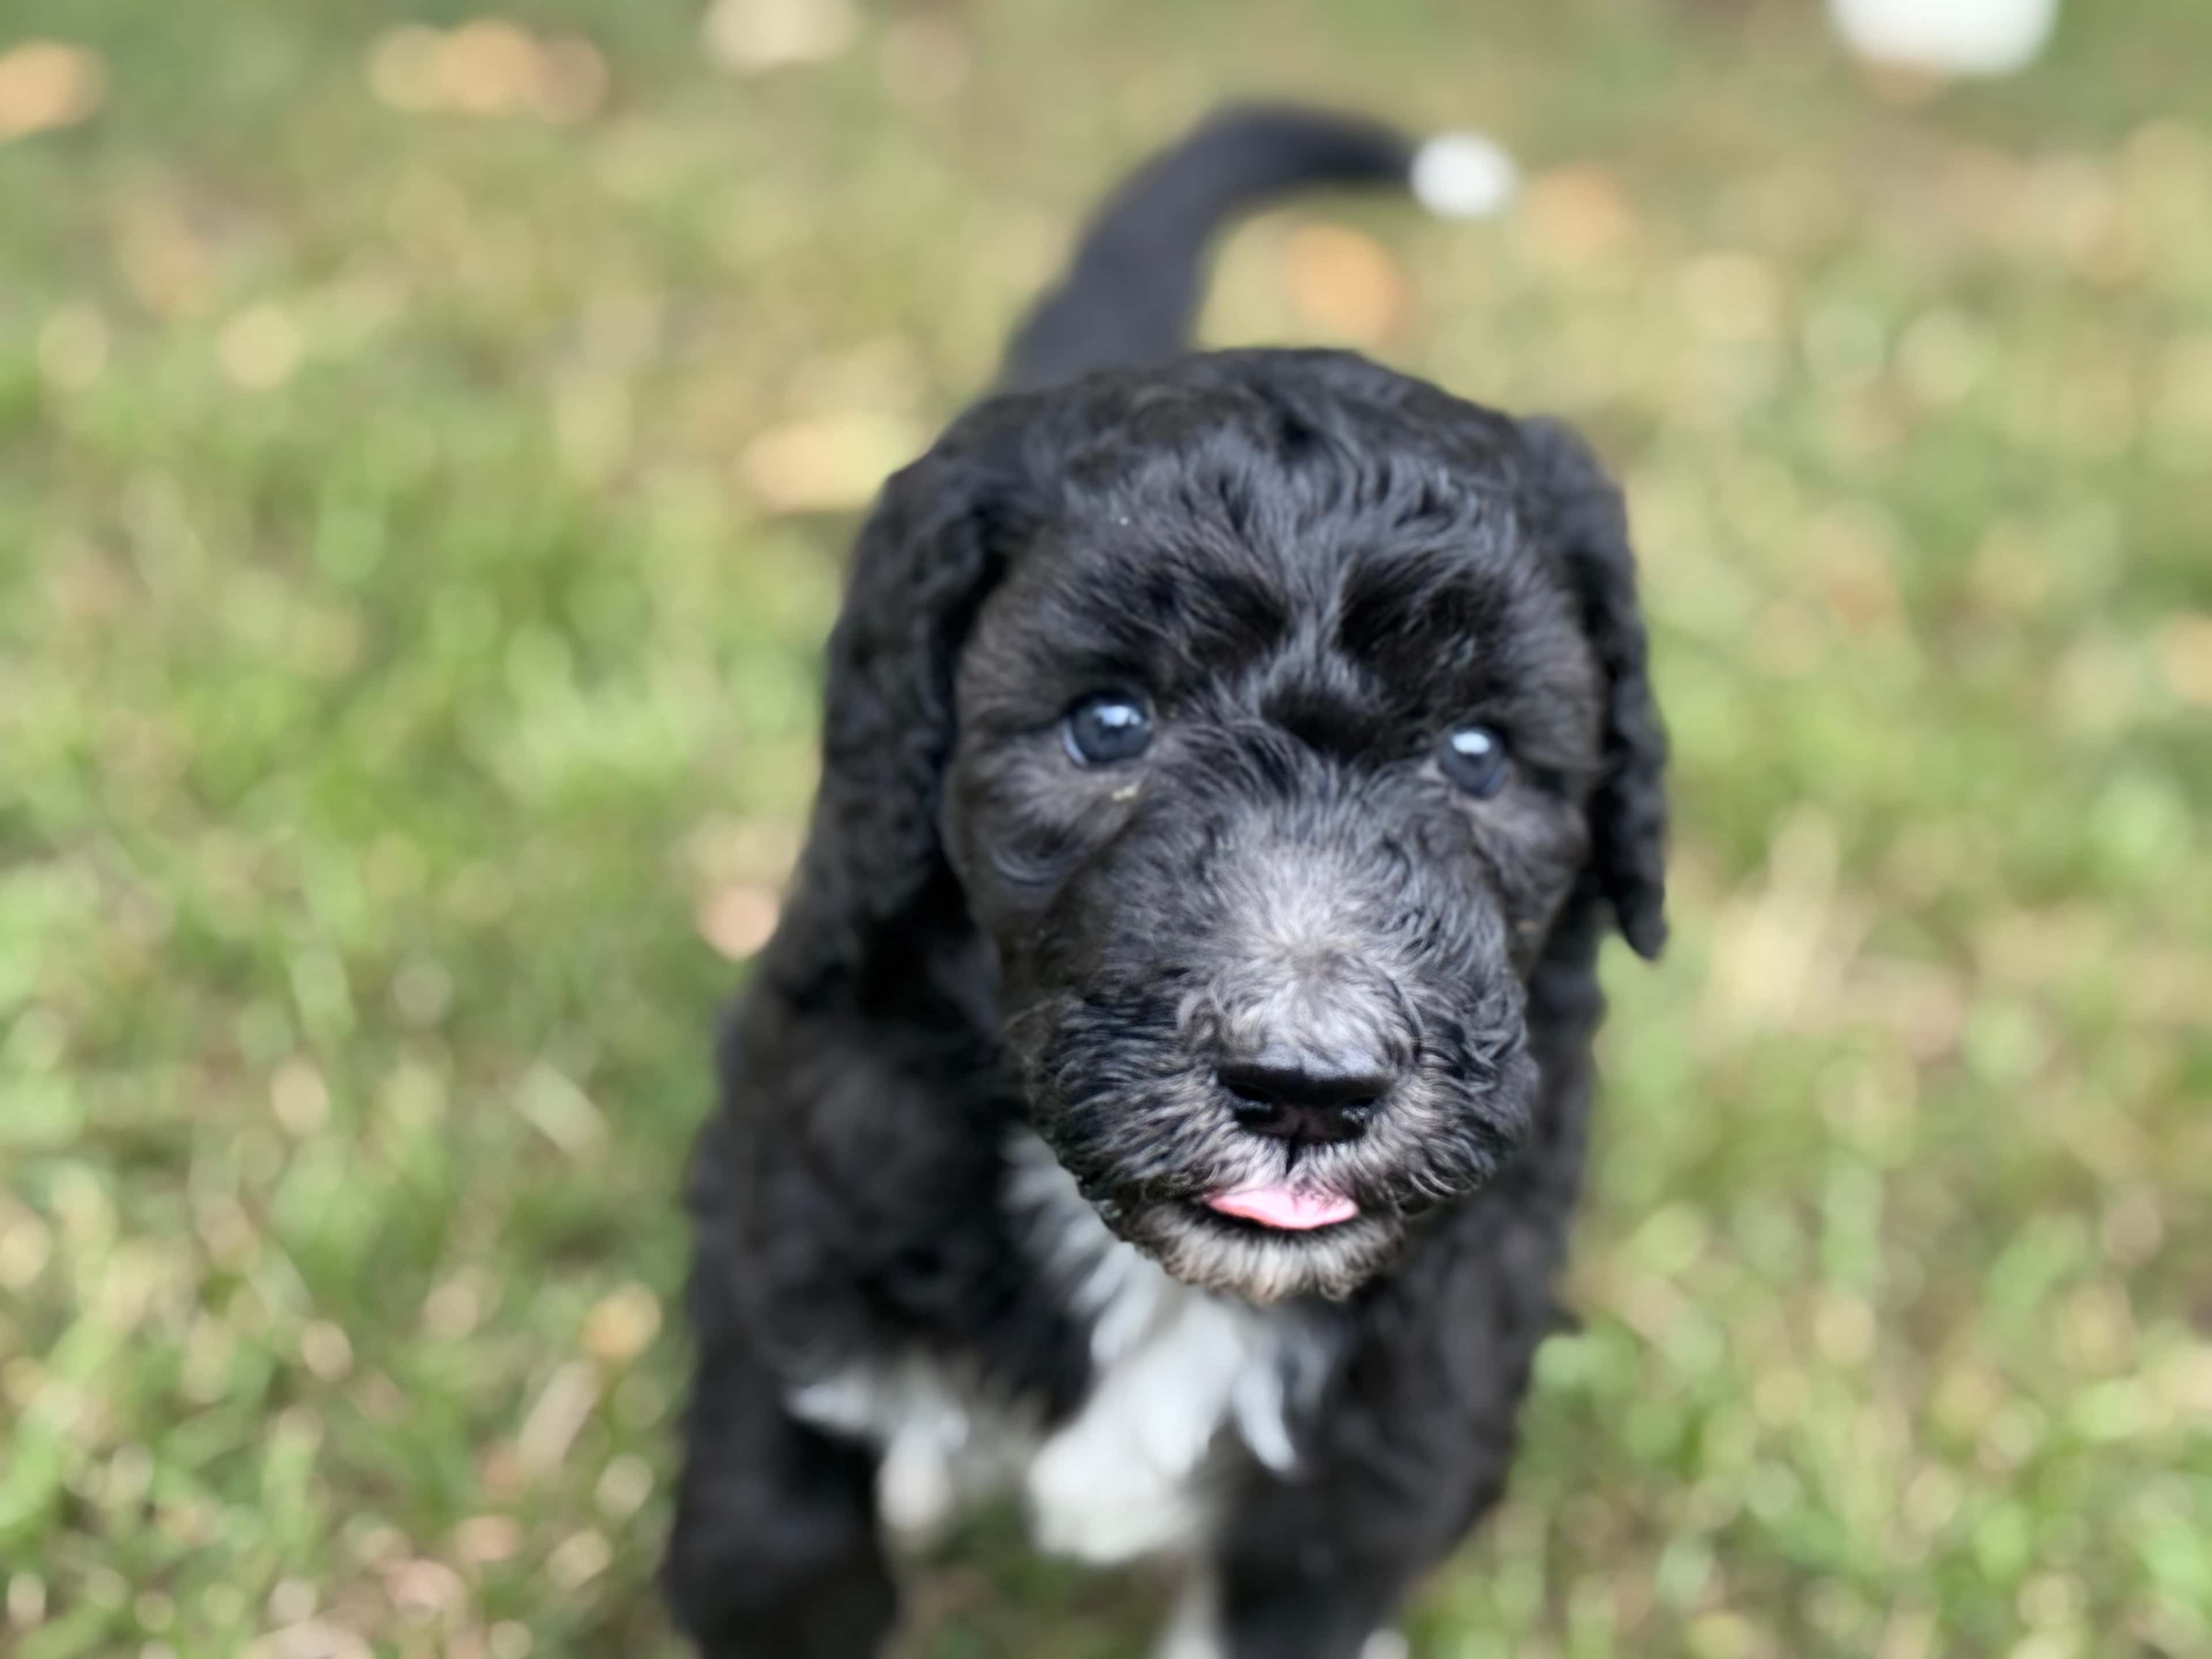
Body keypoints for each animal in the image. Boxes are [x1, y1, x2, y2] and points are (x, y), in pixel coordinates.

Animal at [664, 107, 1663, 1659]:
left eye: (1477, 754)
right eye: (1108, 725)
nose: (1306, 1089)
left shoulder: (1381, 1455)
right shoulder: (792, 1211)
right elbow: (774, 1543)